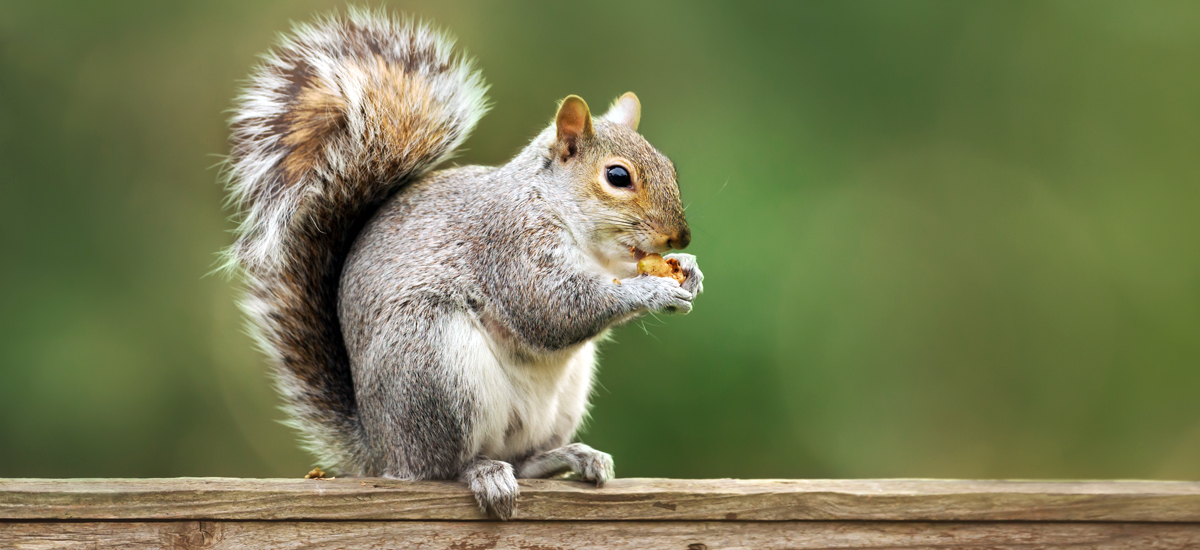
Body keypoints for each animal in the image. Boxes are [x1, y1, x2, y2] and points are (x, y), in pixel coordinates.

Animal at [223, 9, 703, 520]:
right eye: (617, 176)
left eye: (670, 167)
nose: (680, 237)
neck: (569, 222)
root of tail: (382, 451)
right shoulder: (508, 244)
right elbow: (551, 308)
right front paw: (653, 291)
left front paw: (687, 269)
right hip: (434, 366)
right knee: (445, 465)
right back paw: (482, 472)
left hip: (559, 397)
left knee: (524, 459)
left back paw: (568, 457)